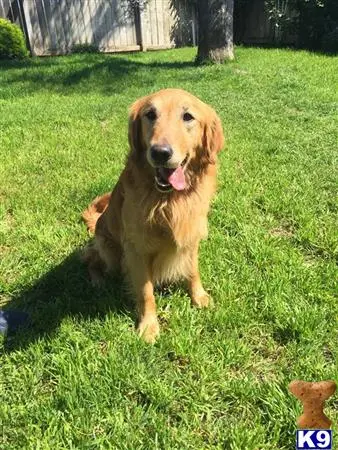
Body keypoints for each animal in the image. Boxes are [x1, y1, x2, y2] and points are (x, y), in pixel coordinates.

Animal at [82, 87, 224, 342]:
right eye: (150, 114)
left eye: (187, 116)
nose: (160, 153)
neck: (169, 200)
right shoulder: (137, 248)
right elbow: (146, 291)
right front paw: (148, 325)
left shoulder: (192, 236)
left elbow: (193, 271)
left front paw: (199, 296)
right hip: (110, 252)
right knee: (90, 258)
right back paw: (98, 280)